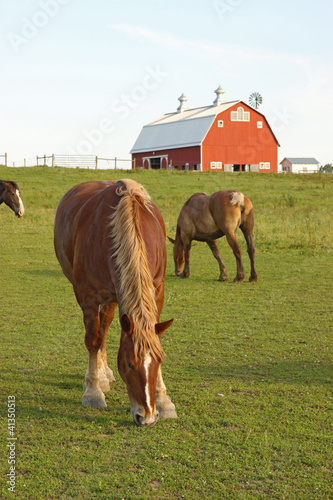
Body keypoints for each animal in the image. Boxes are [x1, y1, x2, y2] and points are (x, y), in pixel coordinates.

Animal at [53, 179, 176, 426]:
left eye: (159, 361)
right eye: (129, 364)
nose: (146, 417)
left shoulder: (157, 290)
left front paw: (164, 401)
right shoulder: (89, 296)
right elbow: (92, 341)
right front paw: (93, 392)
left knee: (106, 325)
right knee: (98, 333)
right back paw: (99, 377)